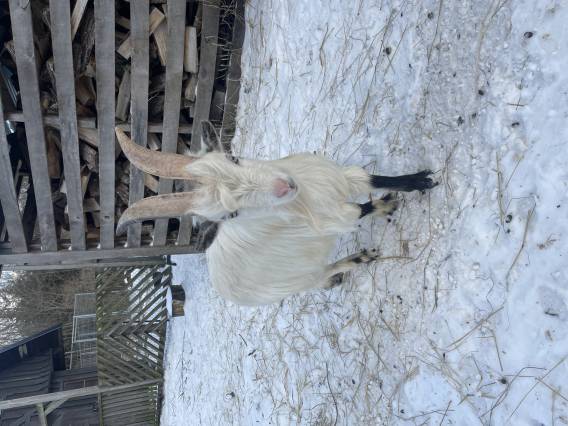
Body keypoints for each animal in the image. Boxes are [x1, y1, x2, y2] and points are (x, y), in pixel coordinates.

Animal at [115, 123, 437, 306]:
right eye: (231, 214)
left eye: (233, 158)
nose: (285, 185)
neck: (303, 200)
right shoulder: (335, 218)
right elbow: (361, 209)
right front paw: (388, 206)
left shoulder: (338, 178)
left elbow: (375, 179)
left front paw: (420, 181)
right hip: (294, 280)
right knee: (321, 274)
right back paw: (357, 260)